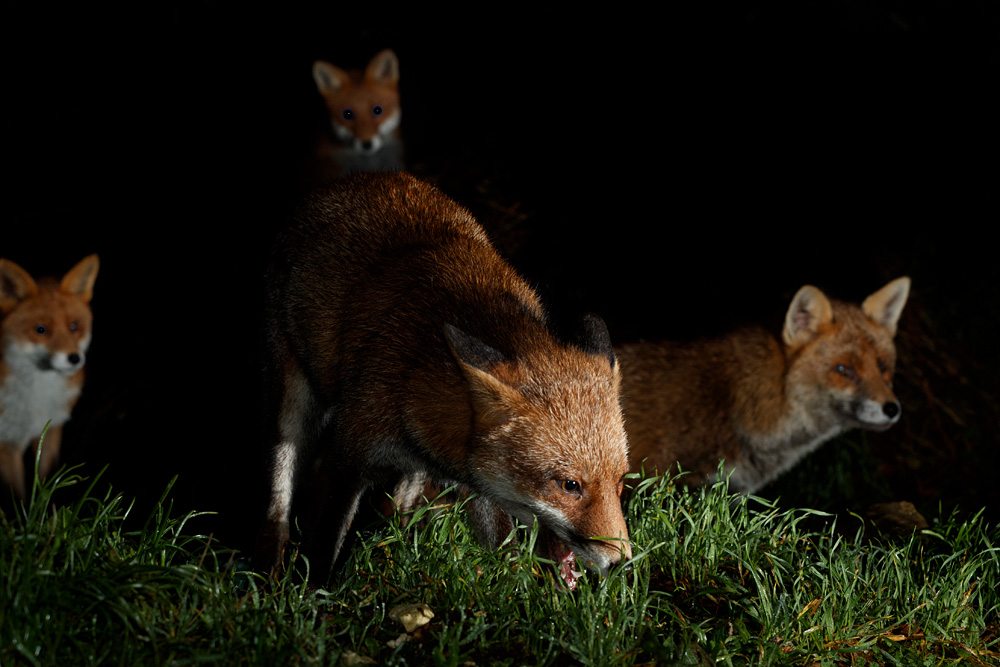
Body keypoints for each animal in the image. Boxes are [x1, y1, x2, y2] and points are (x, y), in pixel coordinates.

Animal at [0, 255, 99, 501]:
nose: (74, 358)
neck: (38, 399)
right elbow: (17, 493)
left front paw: (49, 510)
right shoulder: (8, 440)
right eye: (40, 330)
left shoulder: (51, 430)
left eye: (74, 326)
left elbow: (47, 482)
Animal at [255, 172, 631, 585]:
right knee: (277, 510)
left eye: (620, 482)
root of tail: (362, 179)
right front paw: (313, 592)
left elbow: (503, 553)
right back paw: (267, 574)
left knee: (398, 510)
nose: (622, 563)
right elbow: (323, 546)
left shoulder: (476, 487)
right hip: (291, 407)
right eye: (569, 485)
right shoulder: (348, 457)